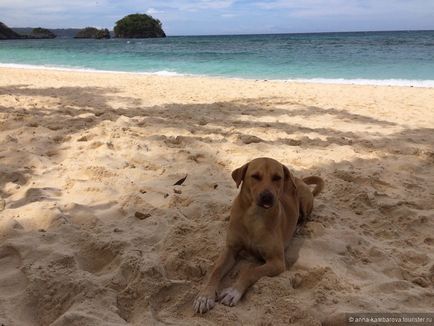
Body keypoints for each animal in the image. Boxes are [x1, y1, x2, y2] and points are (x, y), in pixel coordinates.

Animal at [192, 157, 322, 314]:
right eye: (255, 176)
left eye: (277, 177)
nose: (267, 197)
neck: (254, 216)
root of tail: (298, 179)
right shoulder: (231, 249)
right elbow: (216, 271)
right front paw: (205, 296)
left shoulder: (277, 262)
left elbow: (250, 271)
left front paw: (233, 292)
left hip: (303, 199)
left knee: (306, 216)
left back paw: (299, 226)